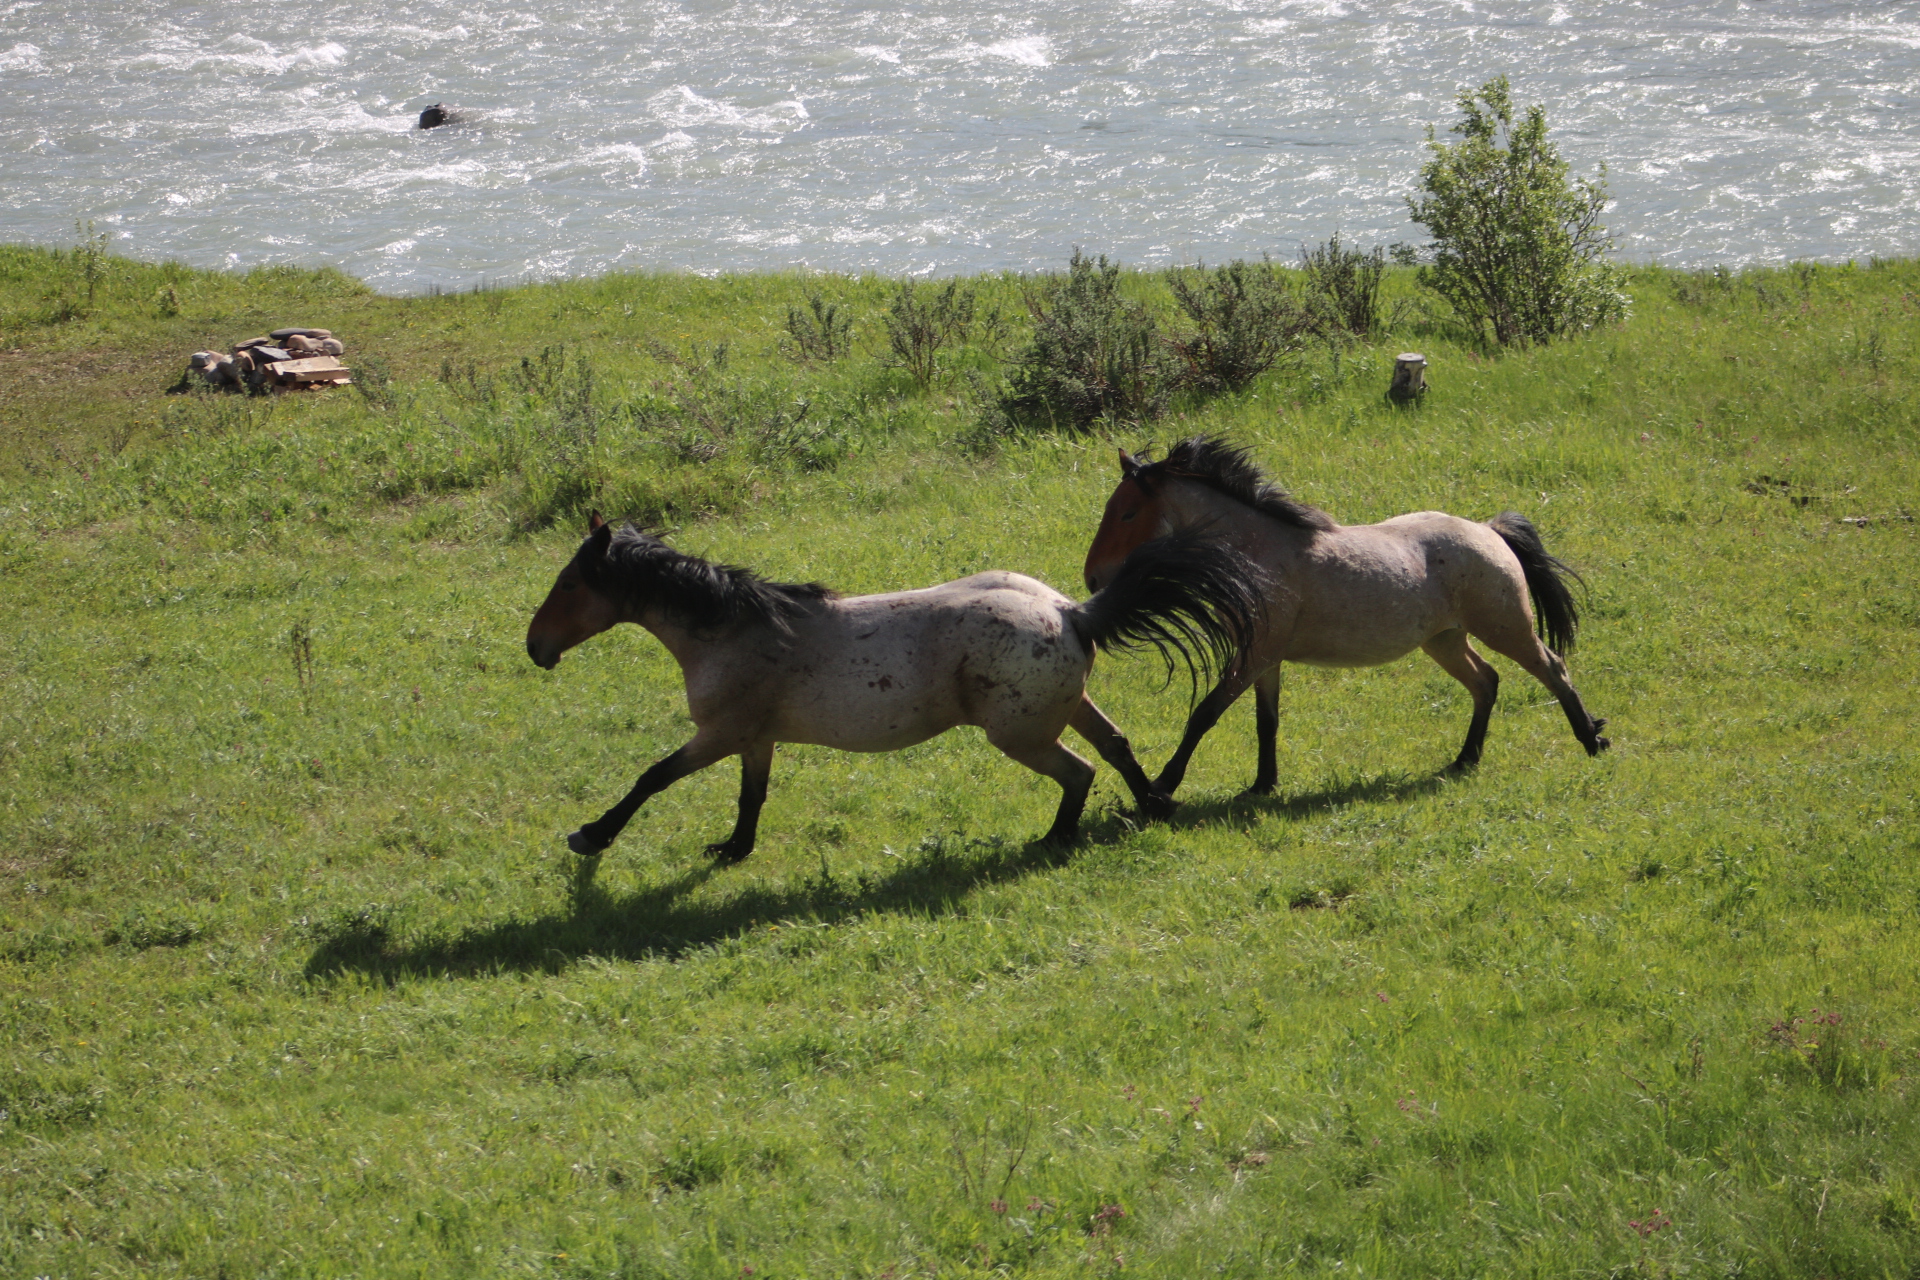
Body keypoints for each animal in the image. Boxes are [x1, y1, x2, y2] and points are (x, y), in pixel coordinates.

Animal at [533, 514, 1267, 867]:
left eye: (569, 584)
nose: (535, 646)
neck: (730, 630)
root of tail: (1073, 613)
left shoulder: (719, 734)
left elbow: (651, 777)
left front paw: (591, 836)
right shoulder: (755, 739)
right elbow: (752, 797)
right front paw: (733, 851)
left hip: (1022, 733)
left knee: (1079, 771)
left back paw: (1054, 842)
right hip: (1068, 707)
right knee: (1115, 746)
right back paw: (1154, 805)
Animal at [1082, 435, 1605, 790]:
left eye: (1128, 513)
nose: (1092, 578)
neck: (1259, 551)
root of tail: (1489, 530)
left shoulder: (1253, 657)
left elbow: (1205, 714)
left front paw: (1162, 786)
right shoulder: (1265, 659)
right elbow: (1266, 721)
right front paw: (1263, 785)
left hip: (1505, 626)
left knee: (1552, 668)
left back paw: (1591, 740)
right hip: (1445, 639)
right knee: (1486, 681)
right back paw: (1465, 759)